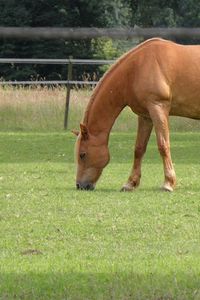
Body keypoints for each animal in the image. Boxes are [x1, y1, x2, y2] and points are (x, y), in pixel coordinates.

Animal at [72, 38, 200, 192]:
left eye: (82, 155)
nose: (80, 185)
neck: (136, 69)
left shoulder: (158, 108)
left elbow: (163, 145)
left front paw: (168, 183)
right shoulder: (145, 116)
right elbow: (139, 148)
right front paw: (130, 183)